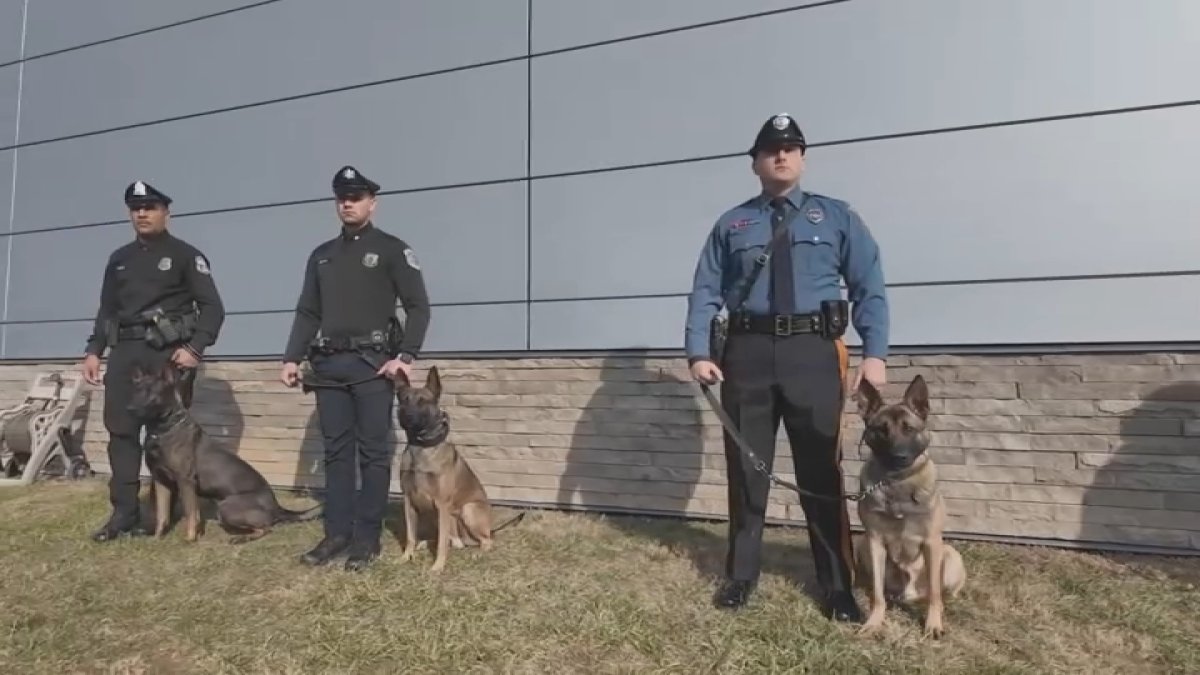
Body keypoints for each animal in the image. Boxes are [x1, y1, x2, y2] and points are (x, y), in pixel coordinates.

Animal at [127, 362, 324, 540]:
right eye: (135, 391)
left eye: (153, 394)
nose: (130, 409)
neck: (163, 430)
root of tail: (277, 506)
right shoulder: (161, 480)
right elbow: (162, 515)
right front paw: (157, 538)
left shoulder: (186, 481)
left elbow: (191, 514)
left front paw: (190, 540)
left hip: (226, 507)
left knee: (266, 528)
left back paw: (240, 538)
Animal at [396, 365, 523, 569]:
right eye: (402, 400)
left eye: (423, 401)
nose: (406, 416)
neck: (421, 448)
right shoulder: (409, 501)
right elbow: (410, 536)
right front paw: (406, 557)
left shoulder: (441, 503)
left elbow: (441, 543)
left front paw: (437, 566)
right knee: (454, 541)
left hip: (467, 510)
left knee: (485, 541)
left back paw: (477, 553)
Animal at [854, 372, 964, 634]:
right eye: (881, 430)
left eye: (909, 429)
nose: (899, 457)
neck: (898, 484)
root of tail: (911, 594)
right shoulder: (874, 541)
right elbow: (877, 594)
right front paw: (874, 621)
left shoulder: (932, 542)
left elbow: (935, 592)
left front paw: (933, 624)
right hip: (862, 544)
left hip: (950, 555)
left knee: (942, 592)